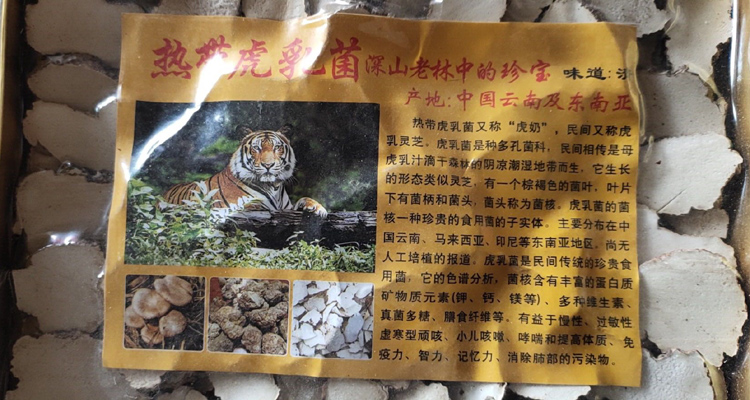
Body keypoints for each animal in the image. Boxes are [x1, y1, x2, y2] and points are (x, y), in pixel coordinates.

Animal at [162, 126, 327, 217]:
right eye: (256, 148)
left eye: (276, 147)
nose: (268, 165)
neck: (273, 187)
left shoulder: (287, 207)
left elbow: (304, 198)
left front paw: (318, 208)